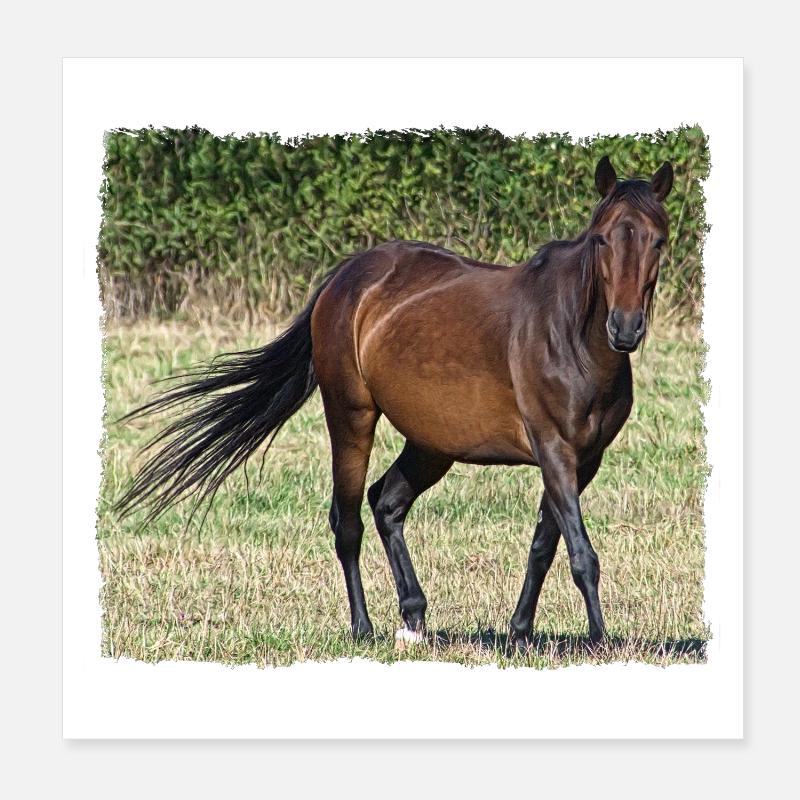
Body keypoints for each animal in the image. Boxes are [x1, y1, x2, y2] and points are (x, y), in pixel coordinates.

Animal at [116, 156, 674, 648]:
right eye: (602, 238)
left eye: (658, 240)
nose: (625, 329)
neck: (572, 336)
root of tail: (347, 278)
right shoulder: (553, 449)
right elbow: (580, 553)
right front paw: (599, 639)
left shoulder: (584, 459)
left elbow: (544, 546)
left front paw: (520, 634)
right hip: (351, 417)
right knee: (348, 522)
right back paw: (364, 628)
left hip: (431, 443)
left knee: (387, 503)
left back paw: (414, 616)